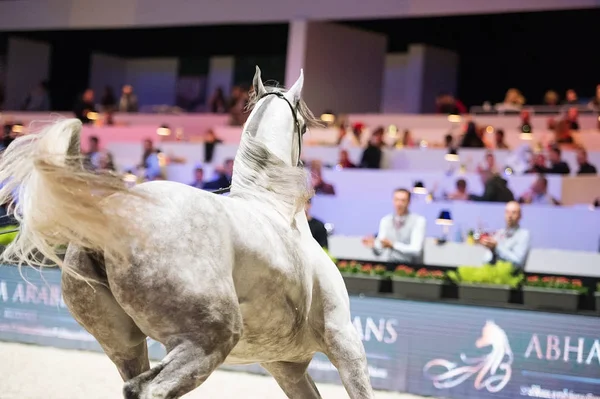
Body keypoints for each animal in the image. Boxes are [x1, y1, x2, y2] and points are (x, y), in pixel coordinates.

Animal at [0, 67, 376, 398]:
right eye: (305, 127)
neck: (275, 206)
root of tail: (110, 214)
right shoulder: (344, 342)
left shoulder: (286, 365)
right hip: (208, 341)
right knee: (151, 389)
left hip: (126, 346)